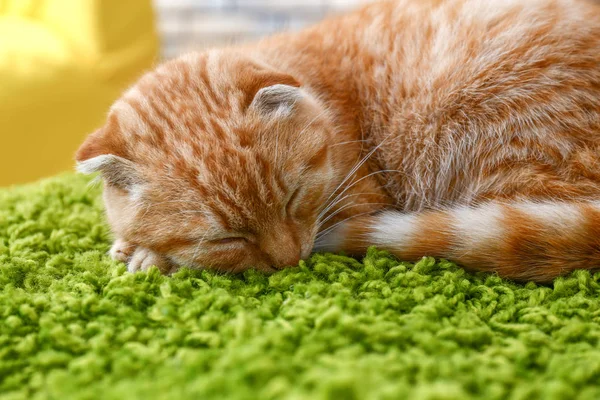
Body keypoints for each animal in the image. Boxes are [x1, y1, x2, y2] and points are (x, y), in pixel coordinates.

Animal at [75, 0, 600, 282]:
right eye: (228, 238)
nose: (289, 261)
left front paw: (149, 256)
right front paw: (128, 244)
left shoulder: (362, 200)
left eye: (292, 199)